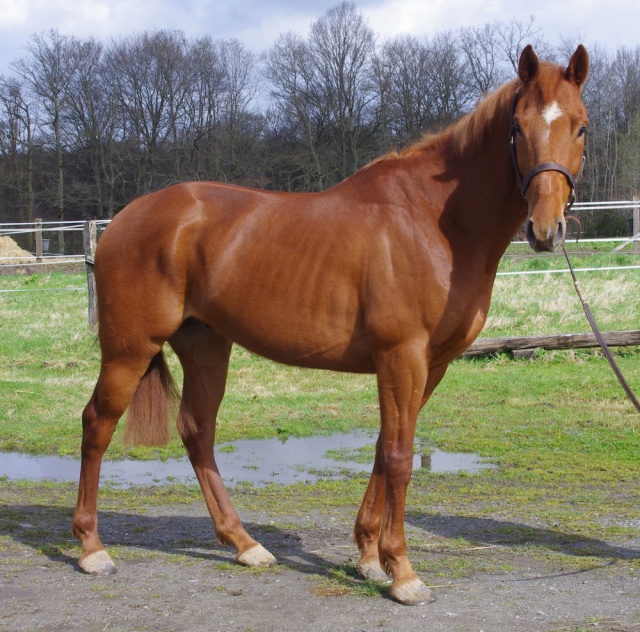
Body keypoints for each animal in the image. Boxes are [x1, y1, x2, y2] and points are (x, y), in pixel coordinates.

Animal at [72, 44, 588, 604]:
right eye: (517, 127)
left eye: (581, 127)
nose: (545, 229)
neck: (435, 222)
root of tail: (123, 220)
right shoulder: (401, 355)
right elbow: (400, 455)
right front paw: (403, 572)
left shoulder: (431, 365)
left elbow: (385, 449)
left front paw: (369, 557)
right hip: (130, 348)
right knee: (97, 423)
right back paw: (92, 548)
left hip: (206, 345)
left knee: (197, 429)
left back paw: (243, 544)